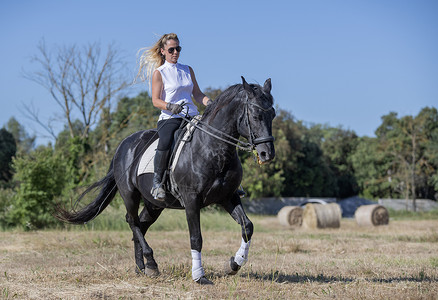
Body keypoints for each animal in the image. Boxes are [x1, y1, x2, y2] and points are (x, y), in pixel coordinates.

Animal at [56, 77, 276, 284]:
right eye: (255, 116)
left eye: (272, 114)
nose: (267, 154)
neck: (213, 148)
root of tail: (123, 145)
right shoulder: (191, 200)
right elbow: (196, 238)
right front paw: (199, 276)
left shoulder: (228, 196)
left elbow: (247, 227)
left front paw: (234, 264)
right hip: (129, 195)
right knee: (132, 221)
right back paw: (151, 263)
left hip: (154, 205)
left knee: (141, 226)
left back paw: (142, 268)